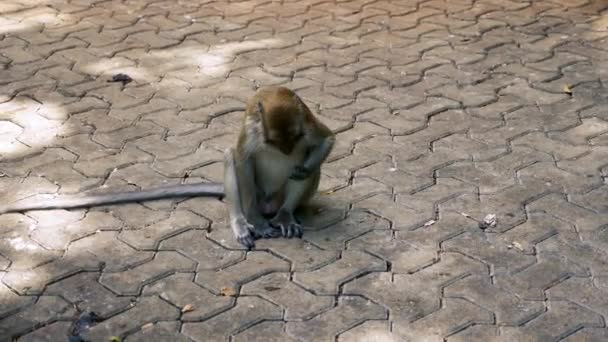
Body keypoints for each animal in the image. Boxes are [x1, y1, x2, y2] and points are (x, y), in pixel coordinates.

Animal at [0, 87, 338, 250]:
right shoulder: (254, 133)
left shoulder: (307, 124)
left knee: (306, 168)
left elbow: (325, 140)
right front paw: (253, 221)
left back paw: (285, 214)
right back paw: (245, 221)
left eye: (292, 137)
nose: (287, 149)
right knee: (231, 158)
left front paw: (303, 166)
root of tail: (272, 204)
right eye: (273, 140)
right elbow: (241, 160)